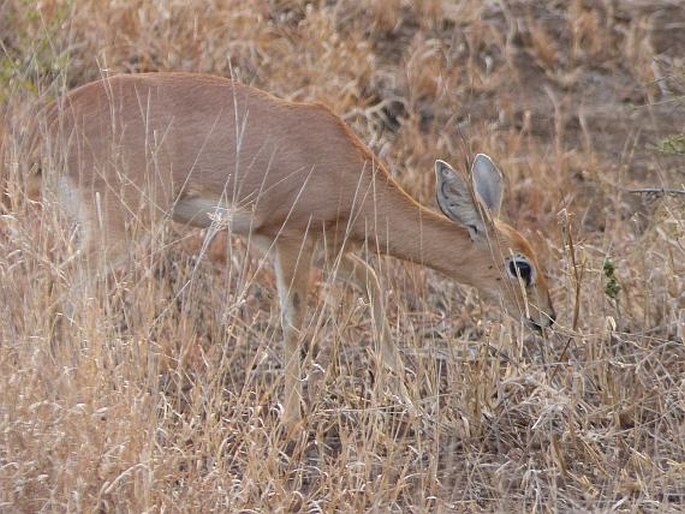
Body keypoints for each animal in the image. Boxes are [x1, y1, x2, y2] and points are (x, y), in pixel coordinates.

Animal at [30, 71, 556, 424]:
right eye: (521, 266)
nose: (546, 319)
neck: (349, 171)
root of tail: (50, 119)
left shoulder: (327, 250)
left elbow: (374, 284)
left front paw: (400, 393)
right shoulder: (291, 246)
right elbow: (294, 325)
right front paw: (291, 419)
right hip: (121, 226)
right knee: (58, 285)